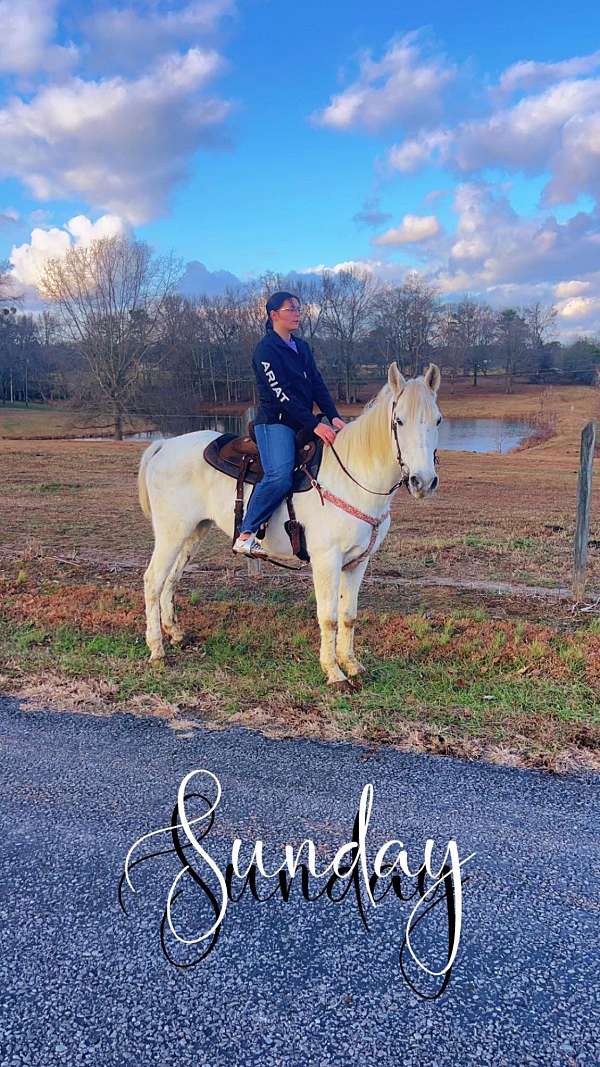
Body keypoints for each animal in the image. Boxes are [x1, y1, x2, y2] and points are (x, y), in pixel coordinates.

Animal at [138, 362, 439, 687]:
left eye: (438, 420)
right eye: (399, 421)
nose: (423, 481)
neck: (353, 477)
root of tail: (164, 445)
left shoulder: (358, 562)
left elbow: (348, 615)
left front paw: (352, 665)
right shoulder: (326, 560)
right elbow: (329, 617)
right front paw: (334, 672)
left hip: (193, 531)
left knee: (171, 578)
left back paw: (176, 634)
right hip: (171, 533)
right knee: (153, 580)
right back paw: (157, 649)